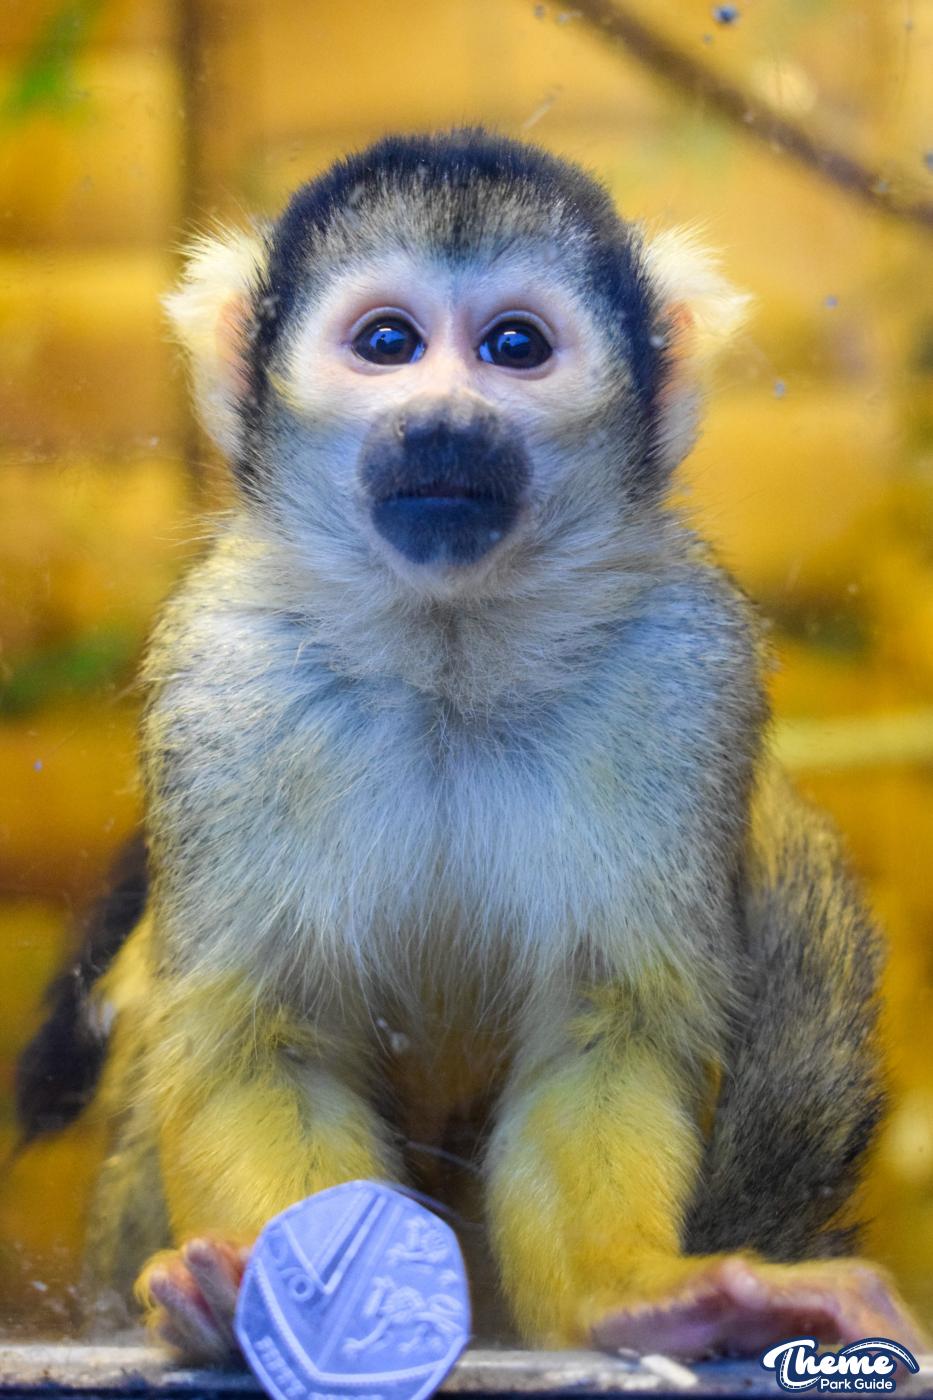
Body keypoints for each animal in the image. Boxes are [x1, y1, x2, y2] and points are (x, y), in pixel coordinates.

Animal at [14, 128, 926, 1364]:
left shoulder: (683, 664)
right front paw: (275, 1297)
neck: (446, 656)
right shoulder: (221, 675)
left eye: (515, 347)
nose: (444, 422)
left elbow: (605, 1031)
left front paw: (642, 1291)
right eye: (388, 344)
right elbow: (256, 1043)